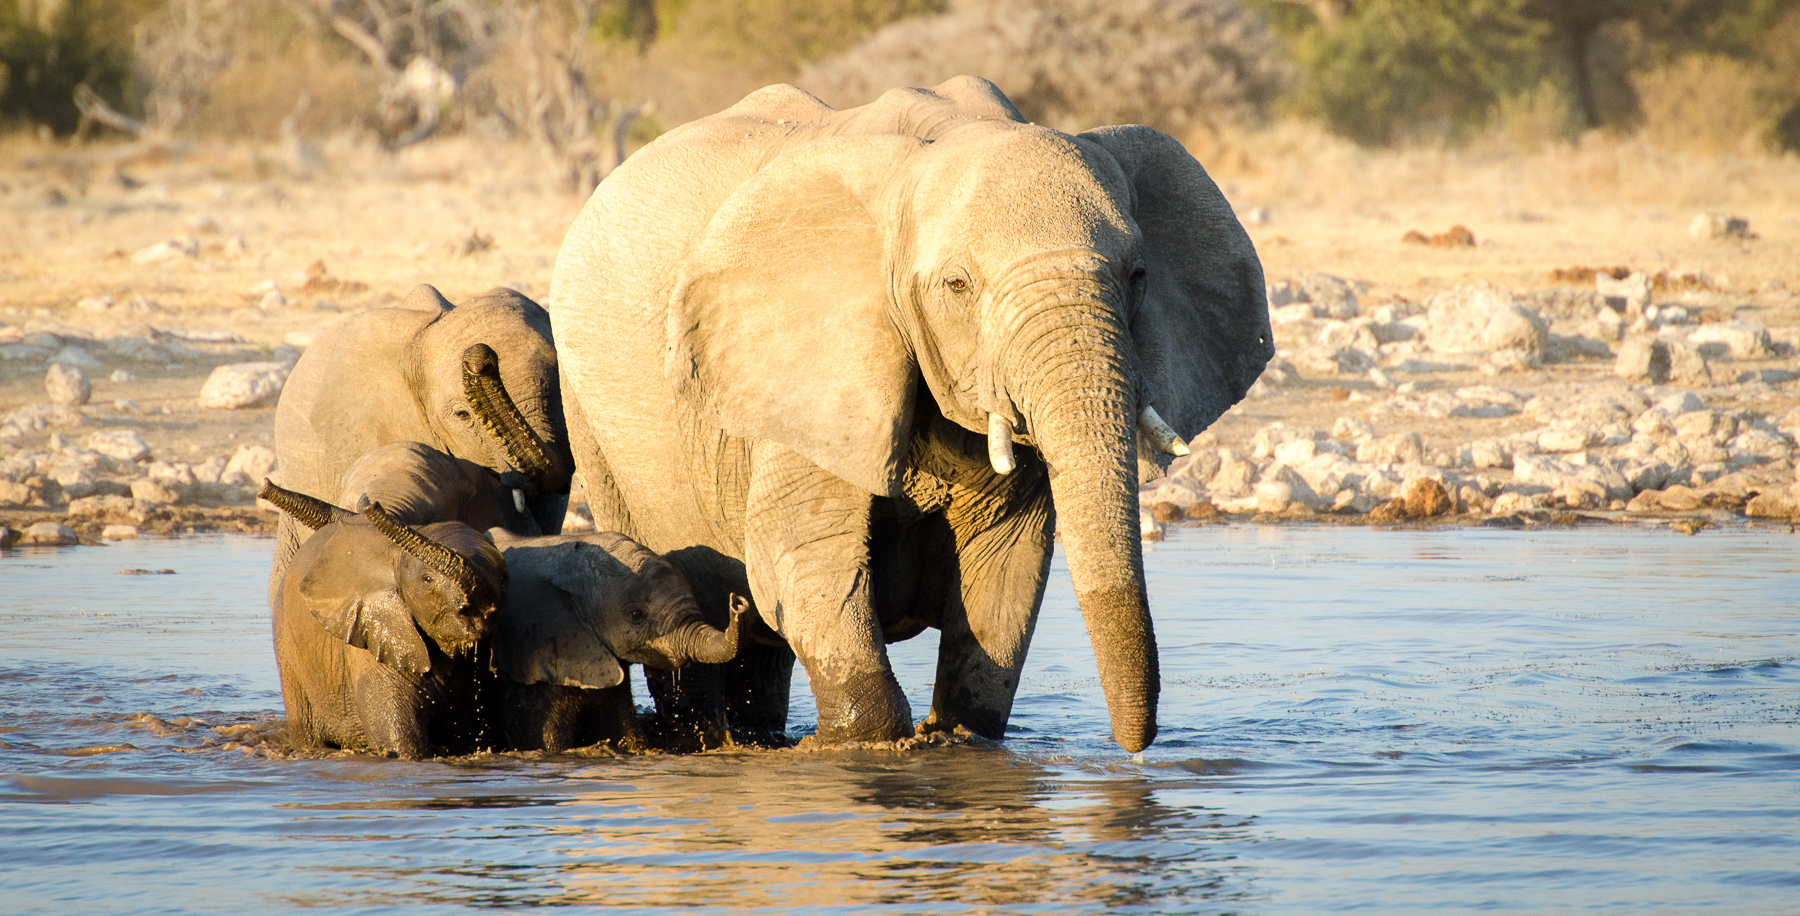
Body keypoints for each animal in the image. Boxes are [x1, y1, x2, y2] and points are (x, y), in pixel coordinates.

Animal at [268, 500, 507, 755]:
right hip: (288, 647)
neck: (396, 557)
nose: (373, 506)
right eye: (427, 580)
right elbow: (397, 742)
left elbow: (459, 737)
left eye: (503, 577)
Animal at [547, 76, 1267, 748]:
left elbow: (1005, 571)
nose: (1135, 750)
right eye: (958, 286)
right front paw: (865, 743)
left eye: (1137, 275)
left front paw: (960, 738)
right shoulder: (808, 366)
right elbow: (802, 556)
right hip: (596, 420)